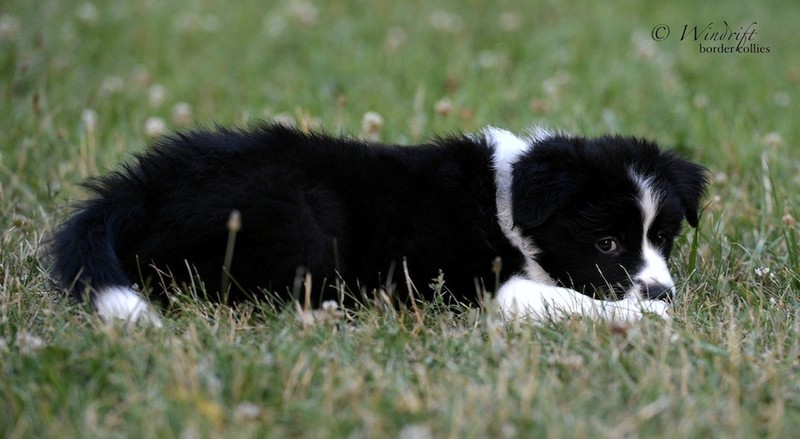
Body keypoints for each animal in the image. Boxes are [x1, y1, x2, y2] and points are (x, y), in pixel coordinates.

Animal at [50, 124, 707, 325]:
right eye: (607, 242)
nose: (663, 291)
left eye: (664, 238)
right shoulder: (473, 281)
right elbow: (563, 298)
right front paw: (645, 318)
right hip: (297, 214)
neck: (509, 202)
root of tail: (139, 189)